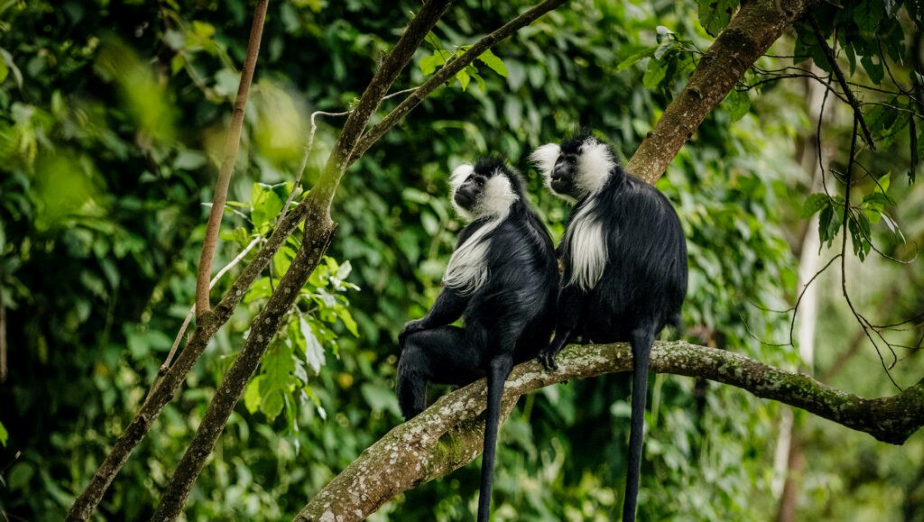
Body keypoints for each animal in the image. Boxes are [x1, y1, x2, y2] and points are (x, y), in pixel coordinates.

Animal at [396, 157, 556, 520]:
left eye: (478, 182)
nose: (464, 185)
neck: (511, 208)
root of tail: (504, 351)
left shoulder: (477, 233)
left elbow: (455, 295)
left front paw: (415, 324)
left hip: (464, 352)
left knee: (417, 352)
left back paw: (412, 418)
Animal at [528, 135, 684, 520]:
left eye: (569, 162)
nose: (556, 170)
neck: (607, 183)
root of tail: (649, 317)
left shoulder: (589, 215)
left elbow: (577, 281)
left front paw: (558, 341)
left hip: (608, 309)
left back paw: (580, 335)